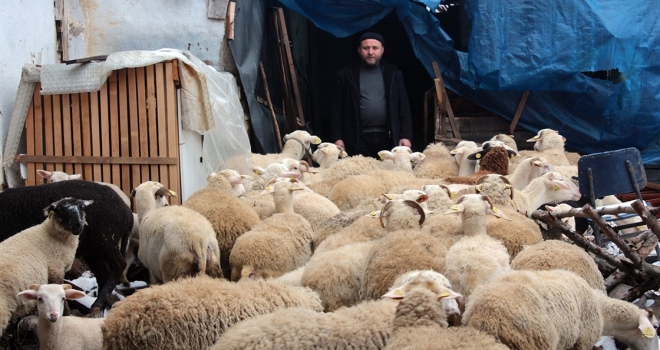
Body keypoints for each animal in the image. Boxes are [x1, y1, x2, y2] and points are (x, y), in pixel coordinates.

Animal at [0, 180, 134, 312]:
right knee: (103, 275)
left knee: (119, 265)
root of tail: (127, 212)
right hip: (94, 250)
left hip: (106, 241)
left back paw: (98, 303)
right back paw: (98, 307)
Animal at [0, 197, 93, 334]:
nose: (78, 226)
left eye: (82, 207)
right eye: (61, 211)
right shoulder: (56, 269)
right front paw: (68, 313)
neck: (51, 236)